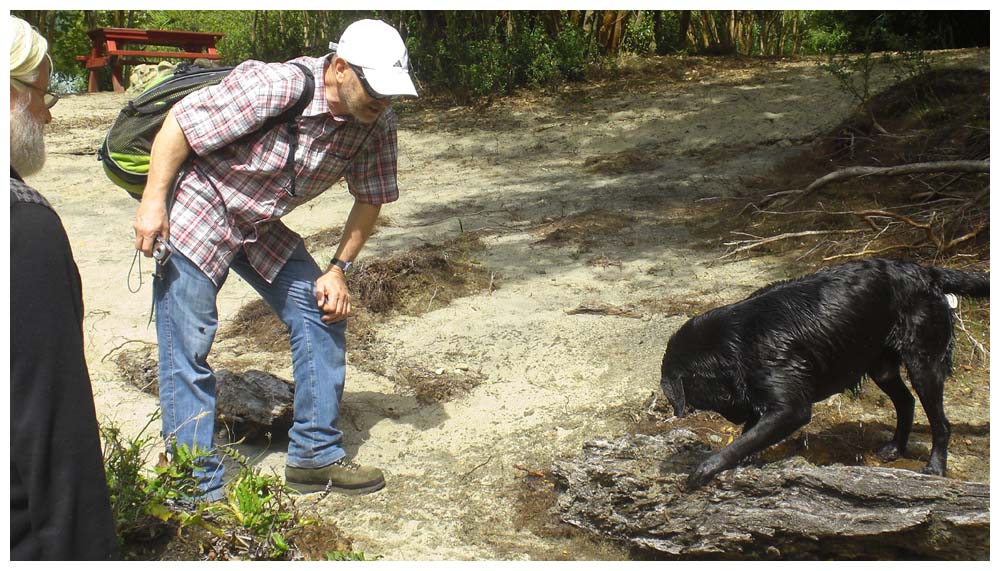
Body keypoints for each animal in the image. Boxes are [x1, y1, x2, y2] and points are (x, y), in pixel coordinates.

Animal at [660, 258, 988, 488]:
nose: (735, 417)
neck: (735, 343)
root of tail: (928, 272)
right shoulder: (762, 398)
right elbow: (748, 437)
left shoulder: (790, 407)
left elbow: (743, 440)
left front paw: (706, 468)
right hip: (880, 365)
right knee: (906, 401)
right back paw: (895, 447)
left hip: (924, 363)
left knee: (941, 423)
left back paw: (936, 467)